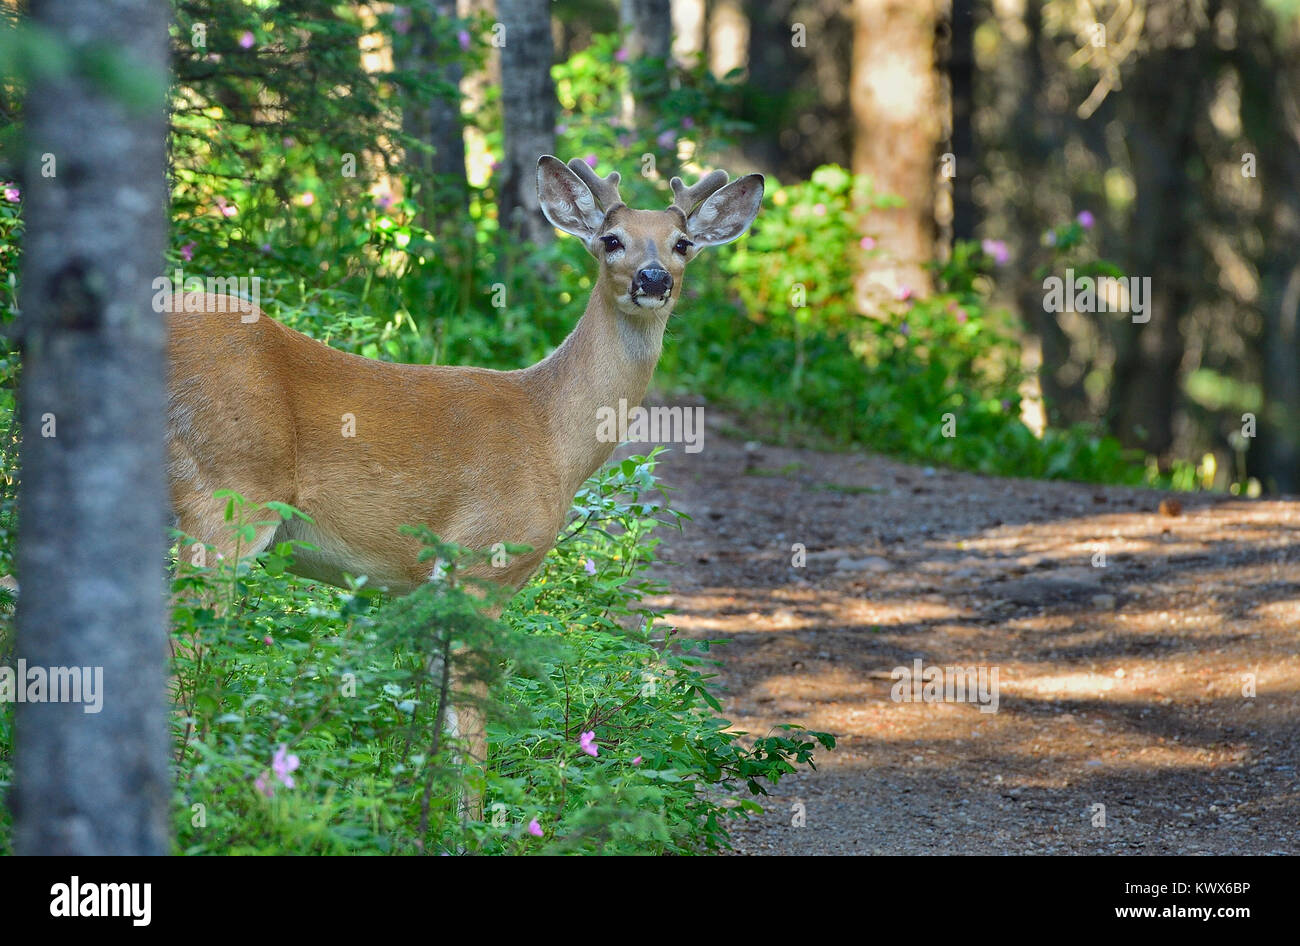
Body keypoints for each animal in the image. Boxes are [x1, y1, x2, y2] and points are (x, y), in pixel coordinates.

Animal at [164, 155, 763, 816]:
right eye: (611, 240)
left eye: (682, 243)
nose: (653, 279)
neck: (550, 433)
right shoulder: (480, 561)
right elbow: (468, 729)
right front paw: (472, 824)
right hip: (225, 494)